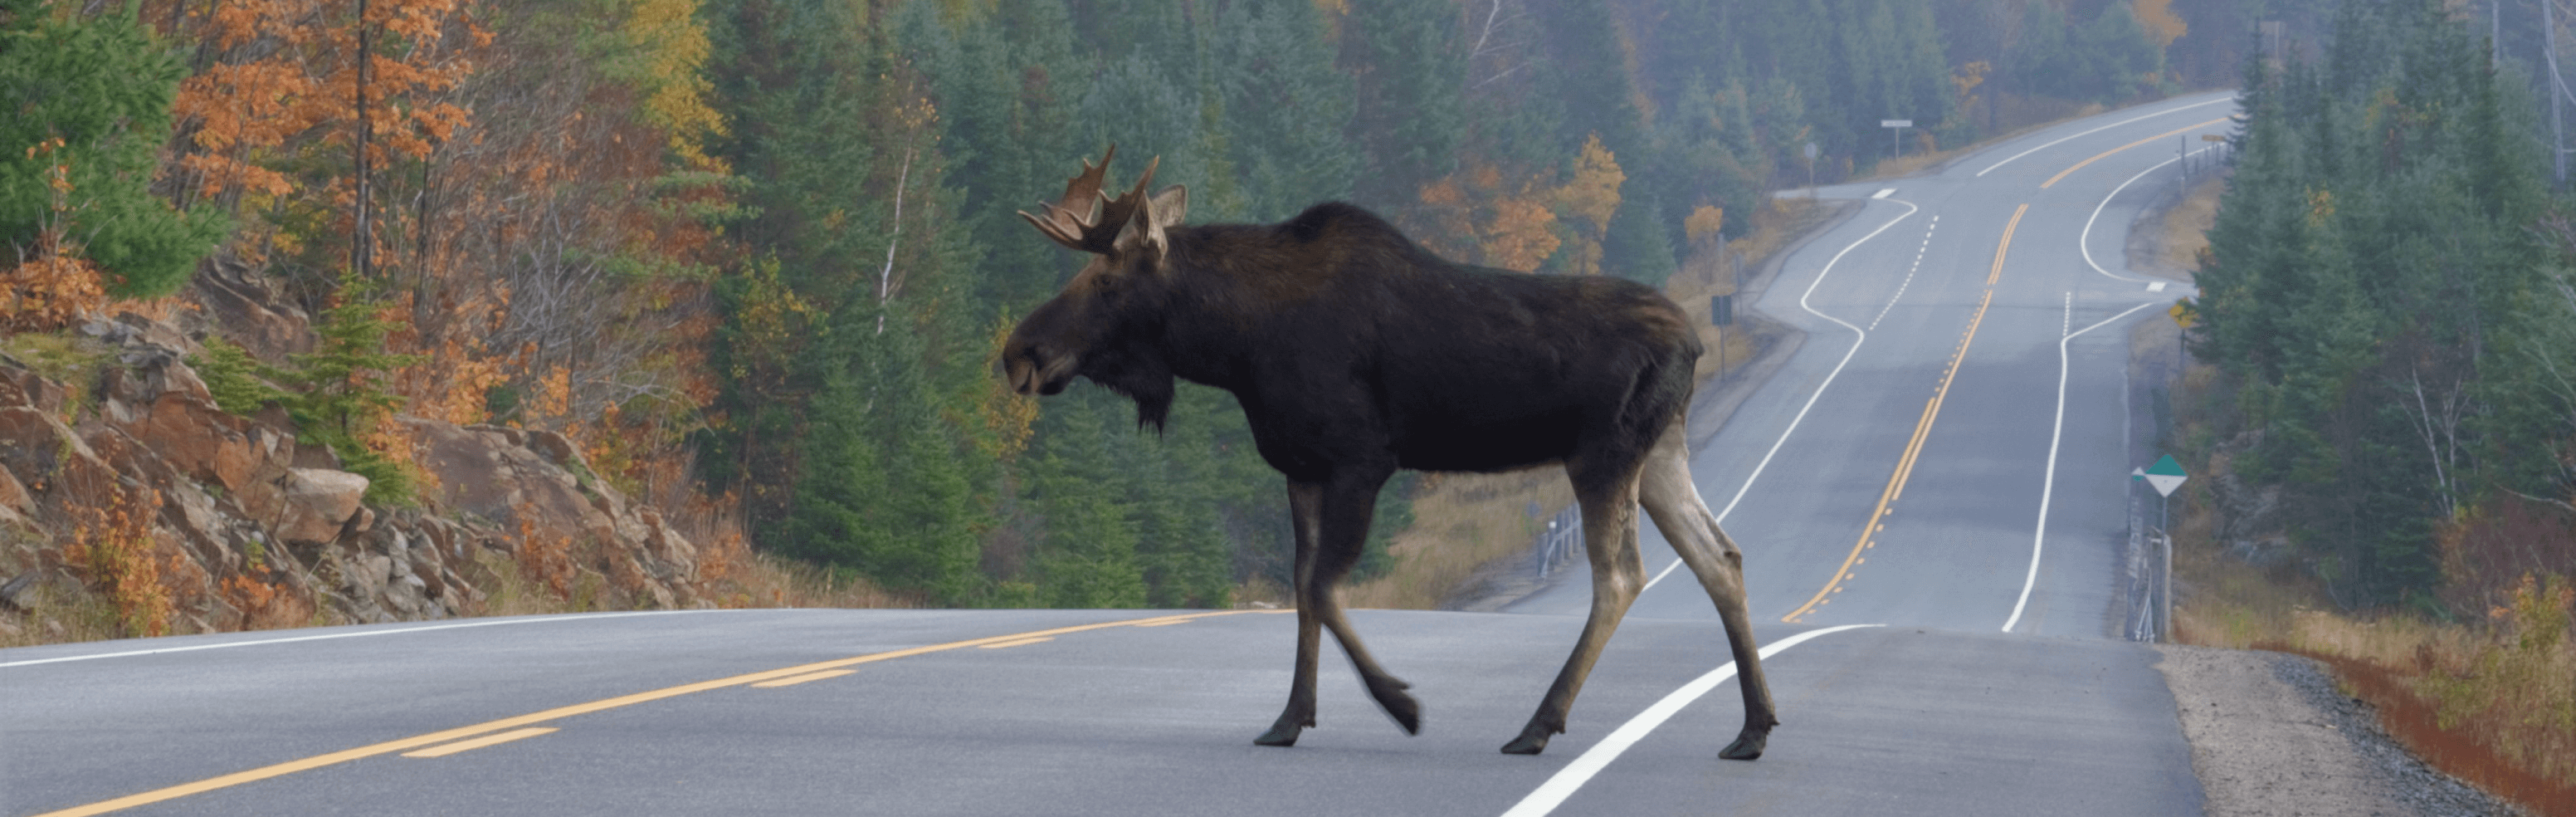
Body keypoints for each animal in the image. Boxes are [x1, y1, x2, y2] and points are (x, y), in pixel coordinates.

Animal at [994, 146, 1782, 757]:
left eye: (1104, 280)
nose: (1018, 353)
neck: (1237, 344)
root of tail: (1696, 341)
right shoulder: (1301, 468)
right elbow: (1301, 587)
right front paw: (1289, 719)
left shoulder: (1361, 459)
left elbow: (1322, 588)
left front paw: (1400, 703)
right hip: (1660, 452)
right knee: (1721, 556)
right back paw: (1753, 727)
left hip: (1604, 453)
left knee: (1621, 575)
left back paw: (1539, 724)